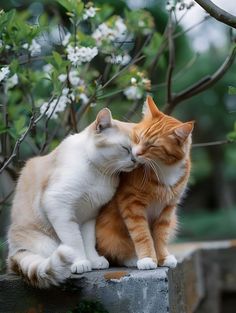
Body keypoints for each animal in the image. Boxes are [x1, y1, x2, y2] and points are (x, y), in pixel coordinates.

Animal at [6, 108, 136, 288]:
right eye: (125, 148)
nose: (136, 160)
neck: (100, 174)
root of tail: (13, 254)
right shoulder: (59, 207)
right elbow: (75, 242)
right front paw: (81, 262)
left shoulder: (90, 215)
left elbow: (88, 240)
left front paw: (93, 260)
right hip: (46, 242)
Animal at [96, 96, 194, 270]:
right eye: (138, 138)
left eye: (152, 145)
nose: (135, 154)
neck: (164, 168)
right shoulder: (132, 204)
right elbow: (142, 235)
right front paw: (147, 258)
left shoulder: (167, 209)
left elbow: (160, 236)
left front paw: (163, 257)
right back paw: (131, 258)